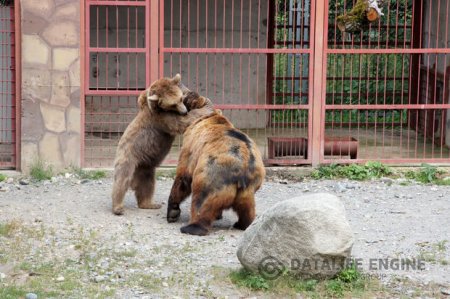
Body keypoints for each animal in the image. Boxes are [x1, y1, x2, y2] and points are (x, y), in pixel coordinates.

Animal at [110, 74, 213, 216]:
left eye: (181, 98)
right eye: (173, 104)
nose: (184, 111)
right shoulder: (163, 118)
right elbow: (182, 122)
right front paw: (208, 108)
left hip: (145, 167)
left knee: (147, 185)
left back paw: (150, 204)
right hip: (128, 157)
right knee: (122, 180)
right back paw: (118, 207)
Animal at [166, 92, 266, 237]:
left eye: (182, 97)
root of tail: (243, 170)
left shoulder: (191, 147)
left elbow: (183, 176)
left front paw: (172, 212)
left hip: (211, 174)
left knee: (202, 200)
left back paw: (191, 227)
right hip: (249, 188)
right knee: (247, 208)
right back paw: (243, 224)